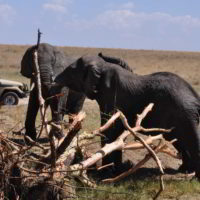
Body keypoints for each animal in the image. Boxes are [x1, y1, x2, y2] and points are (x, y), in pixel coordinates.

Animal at [53, 54, 200, 178]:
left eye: (71, 70)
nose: (54, 80)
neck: (104, 66)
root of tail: (195, 97)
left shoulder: (111, 96)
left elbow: (109, 130)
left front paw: (104, 174)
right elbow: (117, 133)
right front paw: (117, 171)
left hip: (184, 114)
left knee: (191, 139)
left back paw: (194, 176)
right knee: (178, 140)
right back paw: (185, 170)